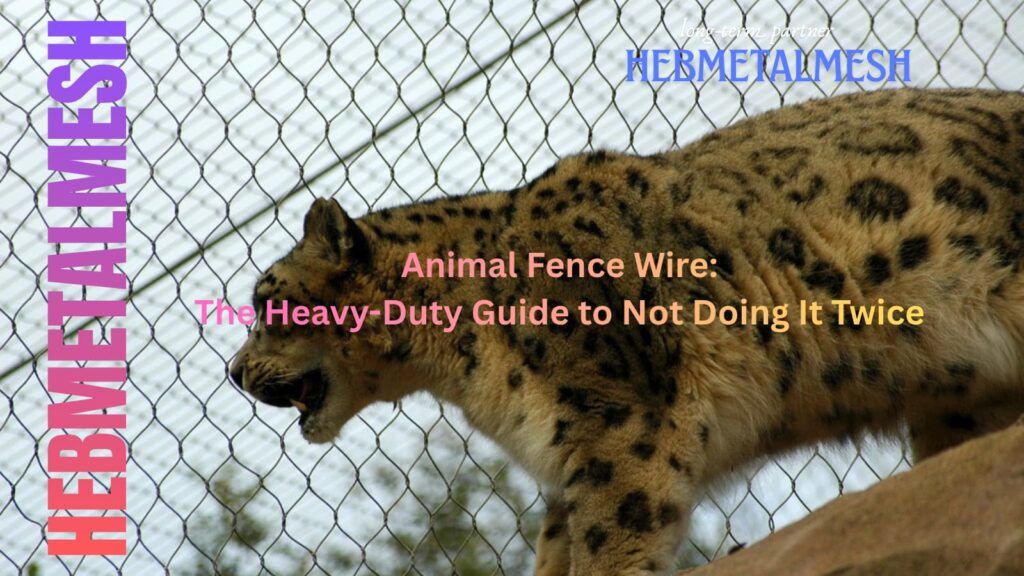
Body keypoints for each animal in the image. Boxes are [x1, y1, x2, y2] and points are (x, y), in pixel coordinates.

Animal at [229, 88, 1024, 575]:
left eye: (268, 303)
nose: (235, 373)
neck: (468, 370)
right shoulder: (568, 454)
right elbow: (557, 549)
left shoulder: (618, 421)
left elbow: (615, 531)